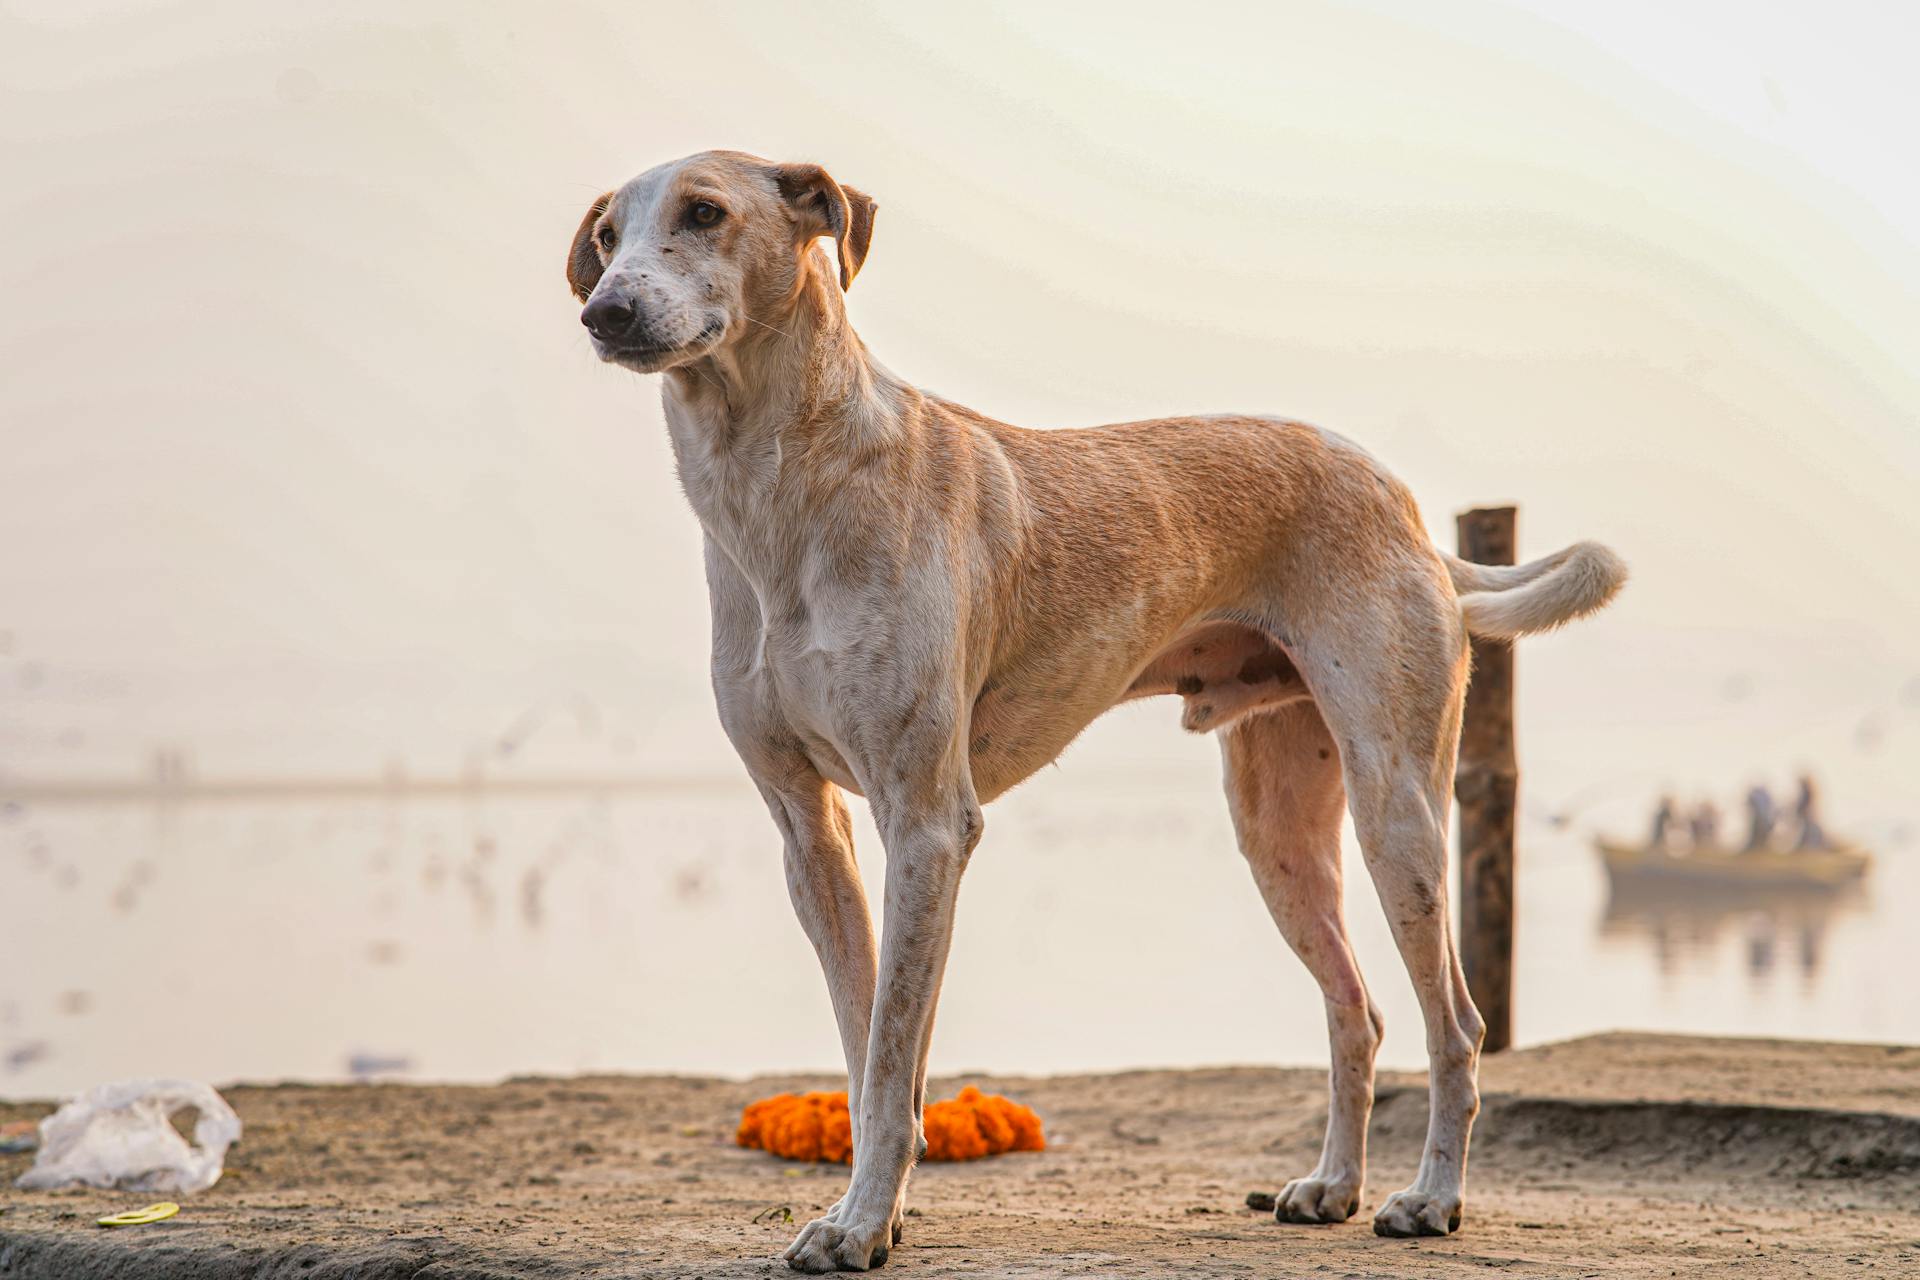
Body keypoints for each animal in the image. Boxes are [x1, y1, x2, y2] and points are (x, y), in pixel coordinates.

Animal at [564, 150, 1620, 1274]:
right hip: (1281, 833)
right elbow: (865, 1046)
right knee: (1356, 1010)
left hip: (1398, 810)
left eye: (704, 211)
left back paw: (1431, 1198)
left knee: (1454, 1023)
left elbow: (893, 1057)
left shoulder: (928, 822)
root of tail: (1405, 503)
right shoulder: (810, 832)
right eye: (606, 235)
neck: (783, 493)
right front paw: (872, 1211)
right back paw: (1333, 1185)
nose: (604, 311)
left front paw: (859, 1225)